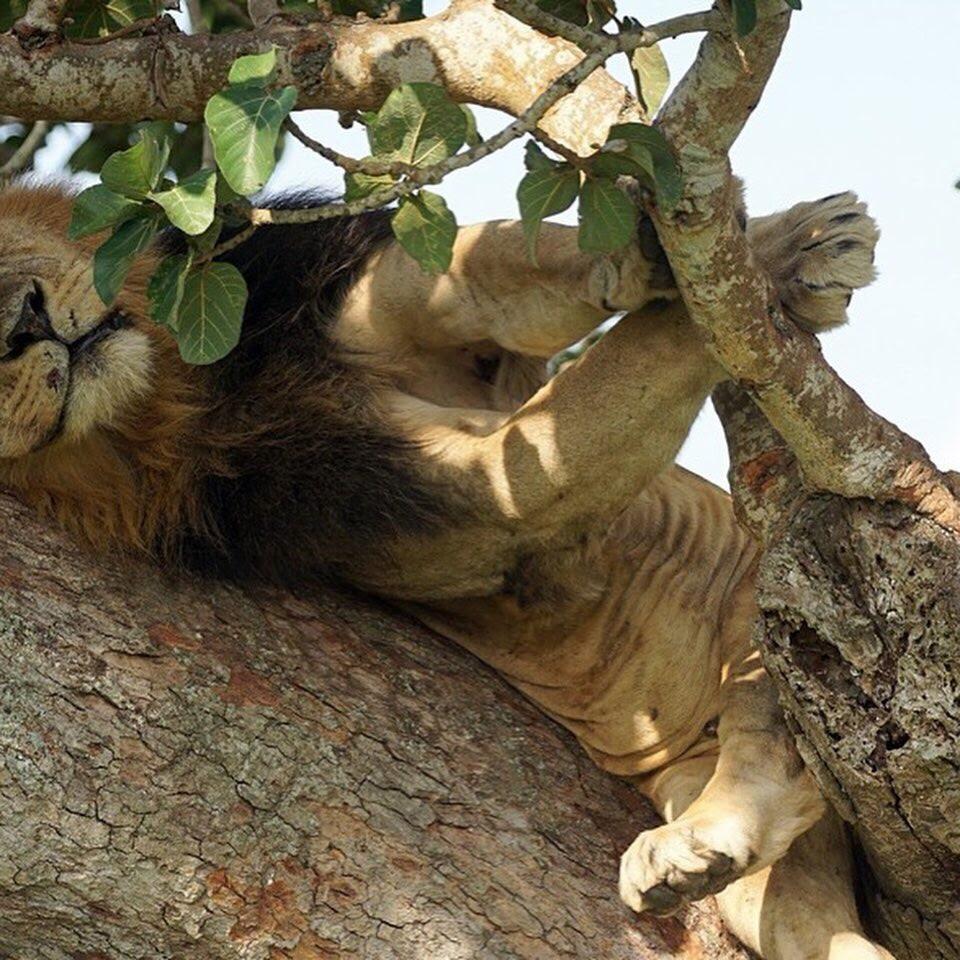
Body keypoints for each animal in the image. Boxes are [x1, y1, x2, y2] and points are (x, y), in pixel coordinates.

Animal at [0, 179, 891, 960]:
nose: (22, 325)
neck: (173, 391)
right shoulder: (415, 504)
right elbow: (588, 411)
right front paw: (779, 254)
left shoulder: (337, 286)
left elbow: (498, 269)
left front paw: (769, 244)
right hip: (747, 688)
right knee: (772, 782)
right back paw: (695, 849)